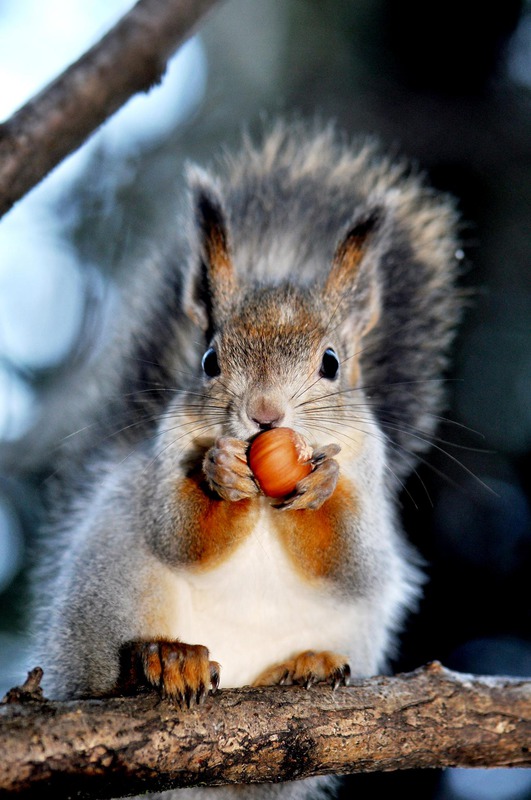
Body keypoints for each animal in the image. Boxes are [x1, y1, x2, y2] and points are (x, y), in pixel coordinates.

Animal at [33, 119, 464, 800]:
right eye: (210, 360)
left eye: (331, 362)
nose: (265, 415)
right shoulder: (168, 451)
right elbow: (177, 531)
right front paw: (220, 474)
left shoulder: (372, 479)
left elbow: (356, 559)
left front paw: (322, 483)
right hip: (107, 587)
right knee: (107, 672)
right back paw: (162, 660)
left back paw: (304, 666)